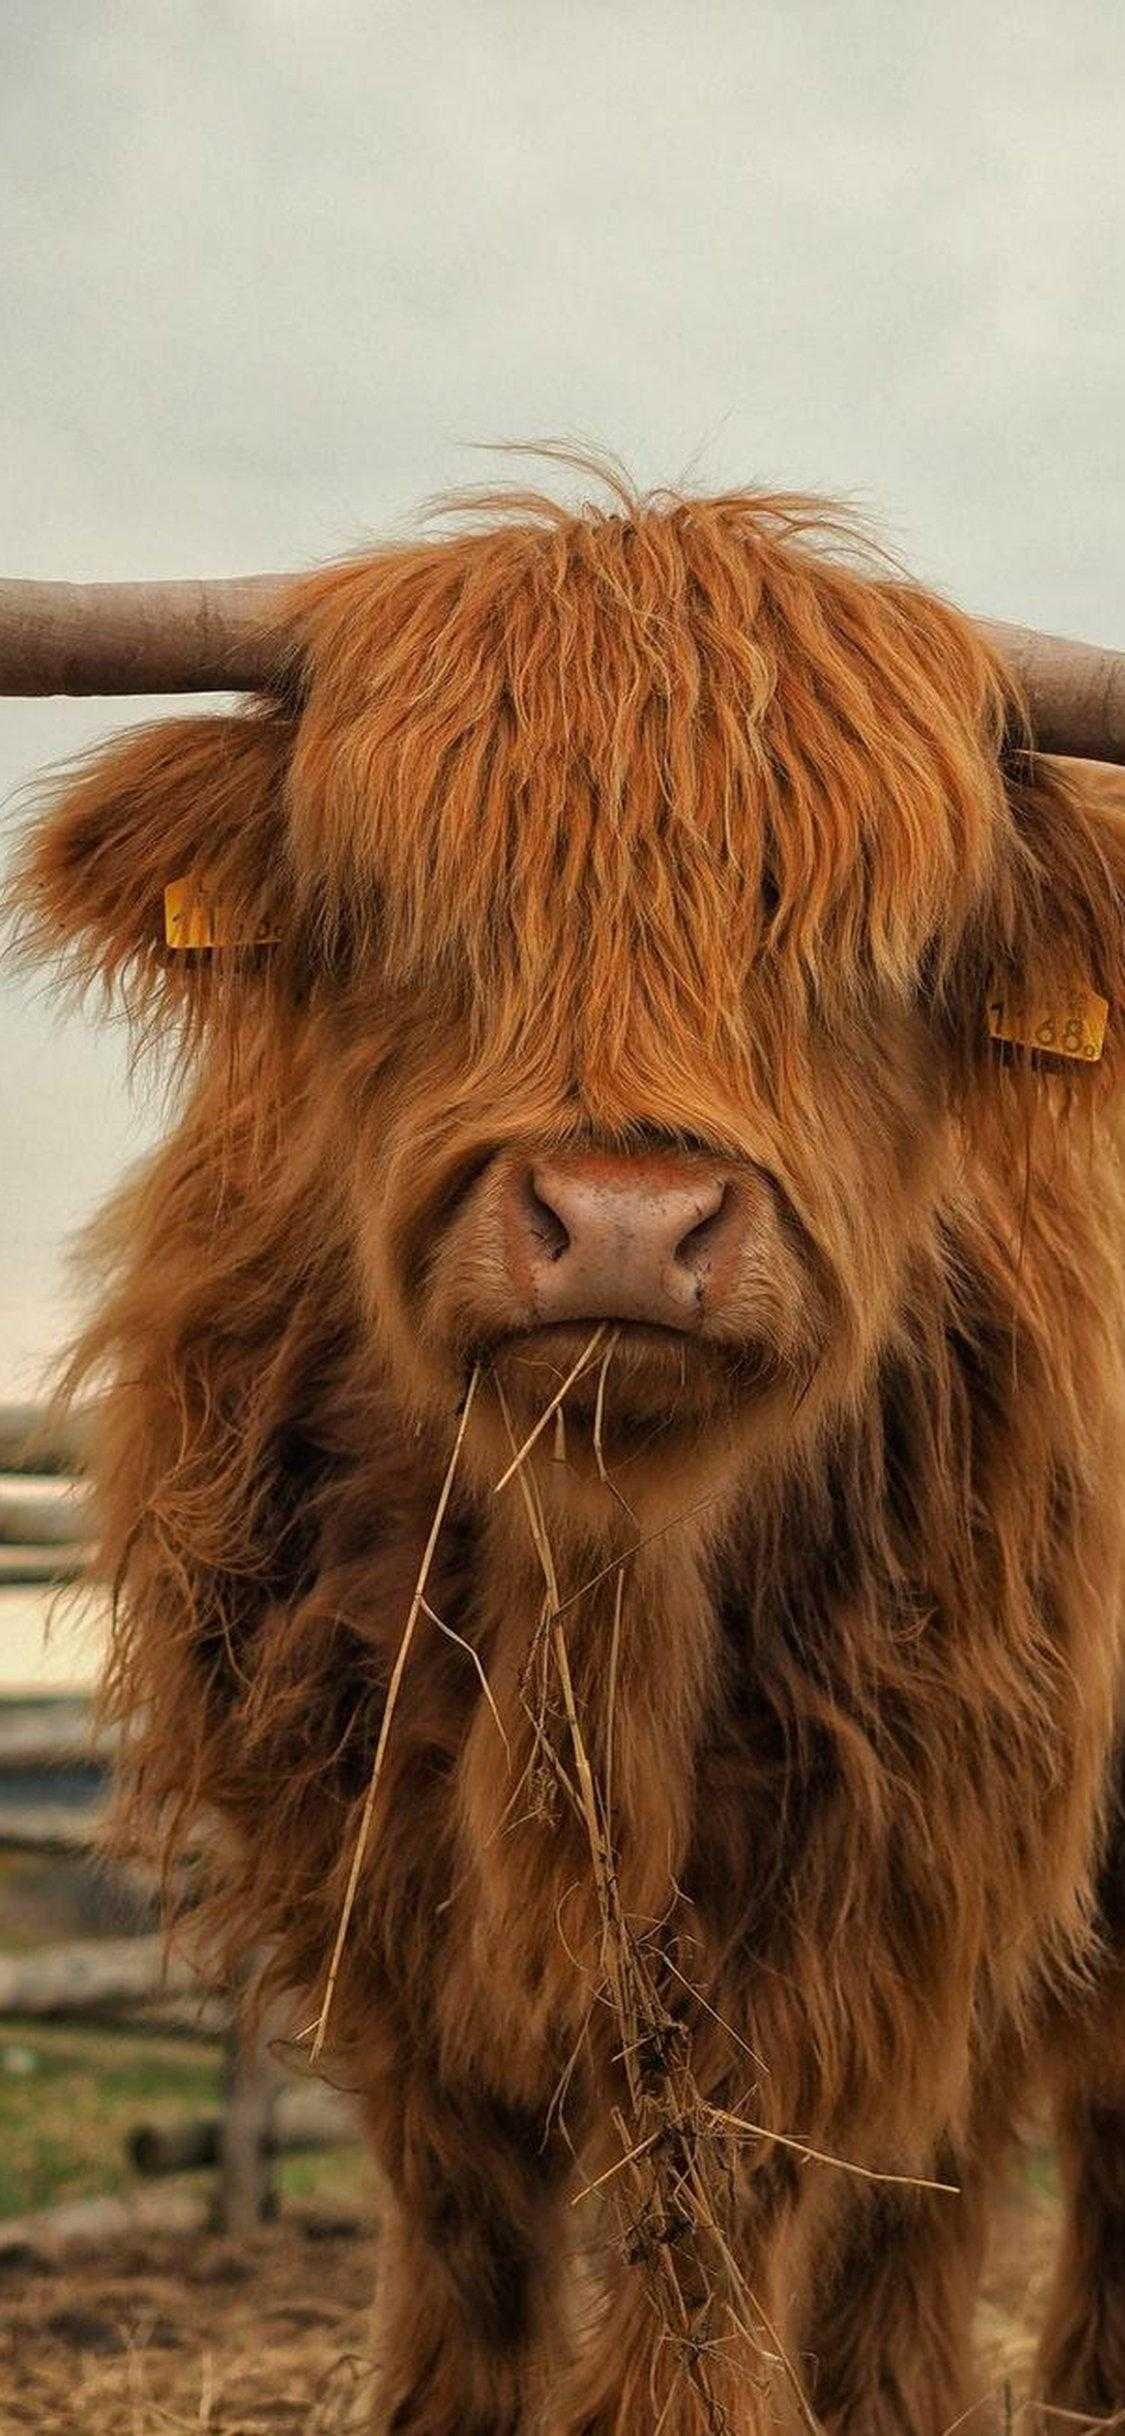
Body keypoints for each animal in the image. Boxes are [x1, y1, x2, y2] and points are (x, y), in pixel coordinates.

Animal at [10, 477, 1125, 2433]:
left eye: (860, 949)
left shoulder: (882, 1862)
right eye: (416, 915)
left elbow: (720, 2229)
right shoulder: (366, 1877)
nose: (622, 1221)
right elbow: (466, 2246)